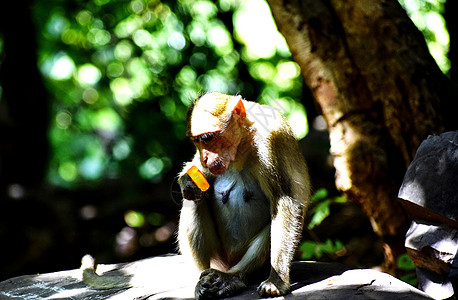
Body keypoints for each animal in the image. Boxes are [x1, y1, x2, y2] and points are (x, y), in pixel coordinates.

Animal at [177, 92, 310, 298]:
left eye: (207, 138)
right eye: (197, 141)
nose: (205, 158)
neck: (244, 142)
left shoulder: (273, 138)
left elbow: (285, 201)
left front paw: (276, 281)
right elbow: (197, 177)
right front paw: (187, 181)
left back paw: (233, 278)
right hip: (218, 256)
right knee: (194, 201)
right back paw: (201, 279)